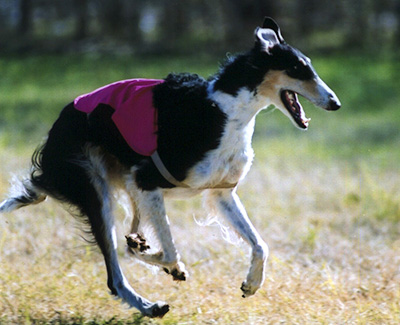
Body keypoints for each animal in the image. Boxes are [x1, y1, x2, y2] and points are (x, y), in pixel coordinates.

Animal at [1, 18, 342, 316]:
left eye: (308, 66)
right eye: (298, 68)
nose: (336, 103)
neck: (224, 110)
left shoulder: (220, 192)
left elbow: (260, 245)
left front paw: (251, 284)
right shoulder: (148, 179)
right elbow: (171, 251)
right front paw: (168, 265)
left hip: (125, 185)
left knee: (130, 238)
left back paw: (141, 254)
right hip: (98, 192)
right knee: (114, 275)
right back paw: (149, 304)